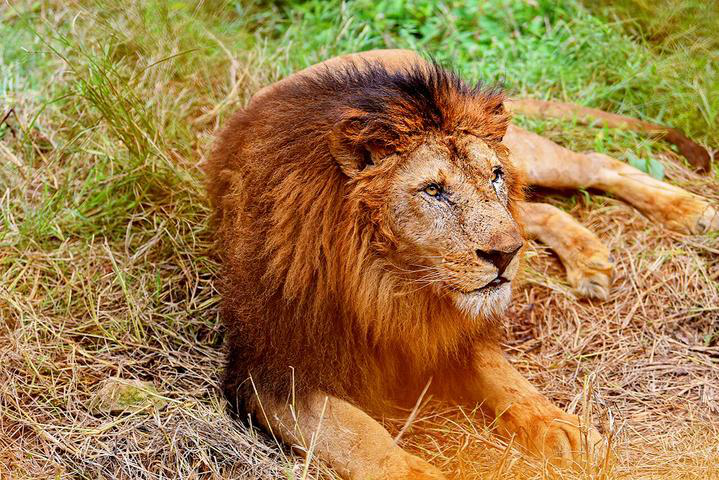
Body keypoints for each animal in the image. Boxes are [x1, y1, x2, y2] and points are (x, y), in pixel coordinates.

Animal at [205, 50, 716, 478]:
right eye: (433, 190)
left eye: (493, 176)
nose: (505, 255)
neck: (389, 285)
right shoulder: (270, 371)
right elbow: (360, 435)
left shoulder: (459, 331)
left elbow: (507, 382)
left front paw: (561, 428)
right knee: (536, 212)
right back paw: (589, 256)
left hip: (529, 156)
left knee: (592, 164)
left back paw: (692, 212)